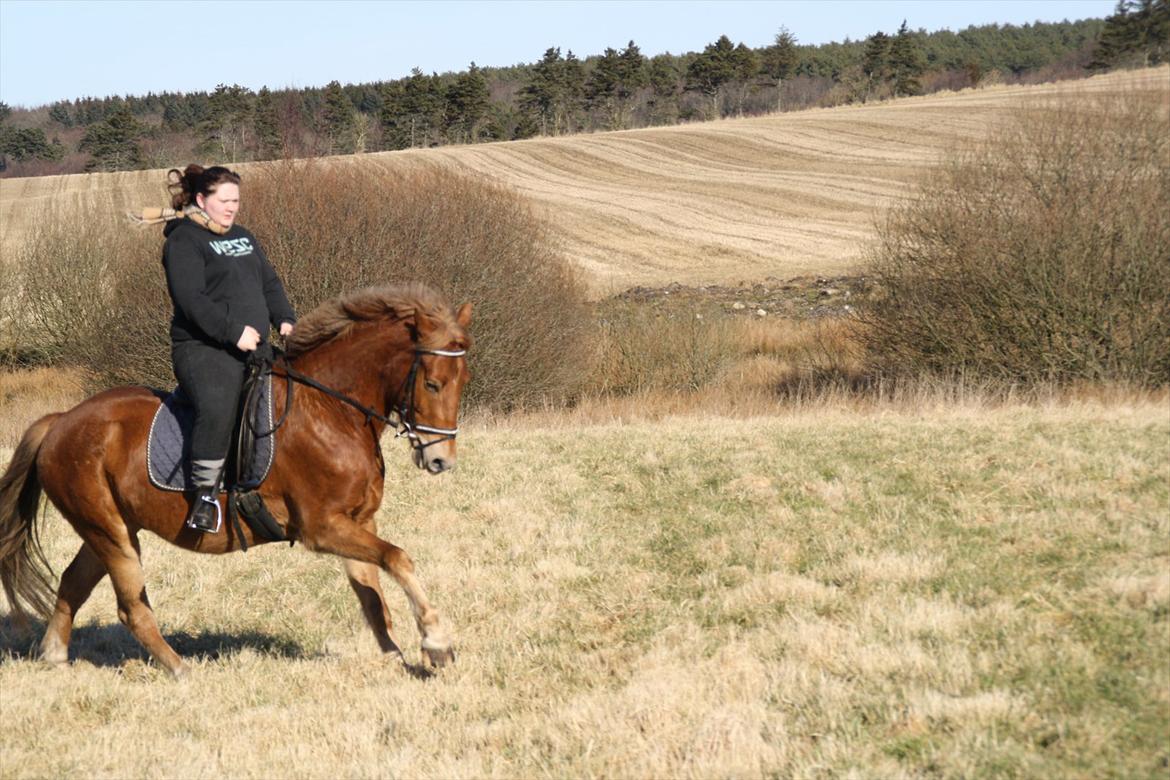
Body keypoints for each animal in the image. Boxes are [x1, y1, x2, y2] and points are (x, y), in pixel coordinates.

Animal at [1, 281, 465, 678]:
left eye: (462, 382)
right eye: (432, 383)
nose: (441, 460)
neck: (333, 411)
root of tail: (60, 421)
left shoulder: (357, 521)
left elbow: (371, 593)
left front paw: (394, 656)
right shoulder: (322, 527)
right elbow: (399, 559)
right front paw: (437, 642)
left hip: (109, 529)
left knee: (73, 583)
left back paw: (55, 658)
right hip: (110, 534)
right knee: (130, 606)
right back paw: (179, 669)